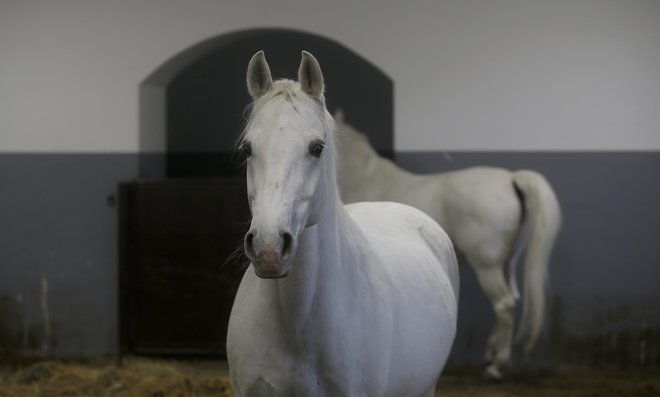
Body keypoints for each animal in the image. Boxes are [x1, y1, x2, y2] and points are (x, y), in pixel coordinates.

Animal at [336, 116, 564, 378]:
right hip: (504, 263)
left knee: (504, 304)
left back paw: (496, 367)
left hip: (487, 266)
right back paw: (492, 353)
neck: (367, 179)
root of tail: (511, 179)